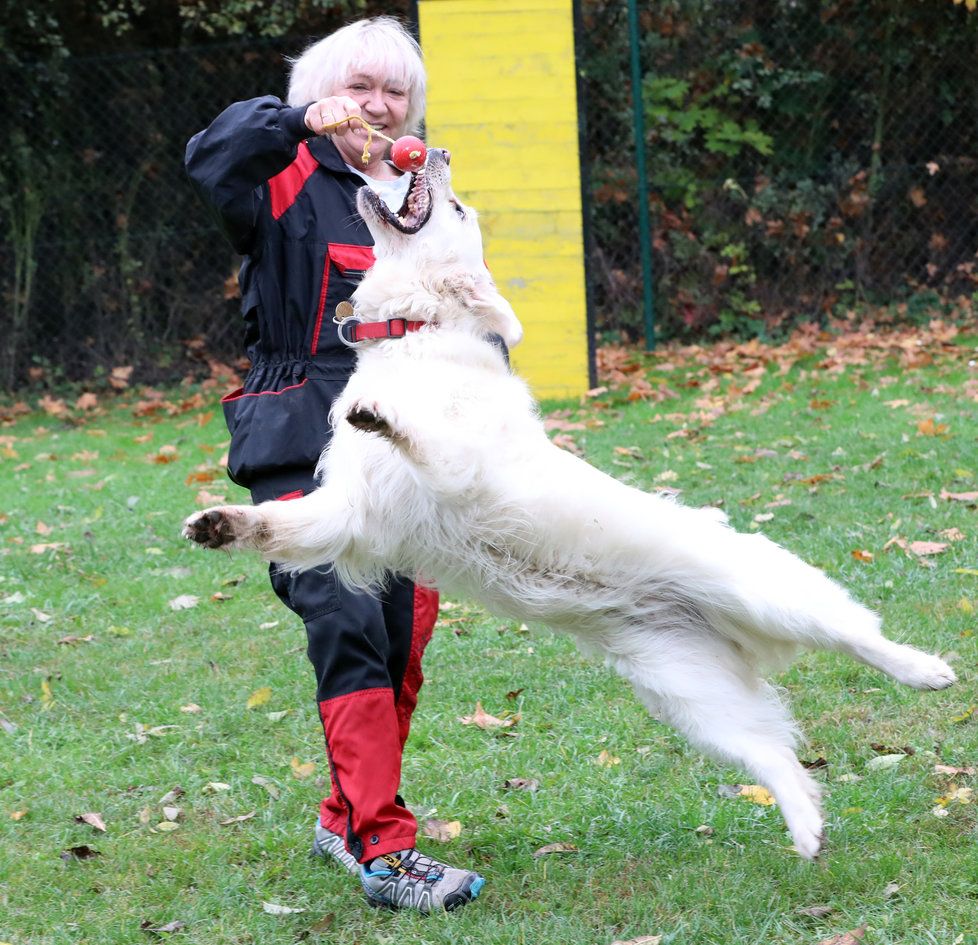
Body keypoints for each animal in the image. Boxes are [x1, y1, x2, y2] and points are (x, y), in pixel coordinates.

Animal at [185, 146, 952, 856]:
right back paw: (806, 827)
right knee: (775, 754)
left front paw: (382, 414)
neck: (415, 336)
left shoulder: (458, 471)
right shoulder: (351, 515)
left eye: (457, 207)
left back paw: (927, 670)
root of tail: (714, 621)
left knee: (860, 637)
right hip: (693, 698)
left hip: (774, 598)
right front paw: (218, 523)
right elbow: (277, 523)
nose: (437, 151)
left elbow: (424, 440)